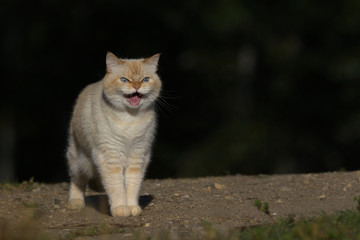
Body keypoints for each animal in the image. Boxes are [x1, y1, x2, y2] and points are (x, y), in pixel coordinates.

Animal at [66, 51, 162, 217]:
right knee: (77, 182)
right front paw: (120, 209)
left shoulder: (138, 156)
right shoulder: (110, 157)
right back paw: (75, 202)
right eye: (124, 80)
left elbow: (132, 186)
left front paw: (132, 208)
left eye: (145, 79)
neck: (130, 119)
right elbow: (116, 187)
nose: (137, 85)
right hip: (79, 162)